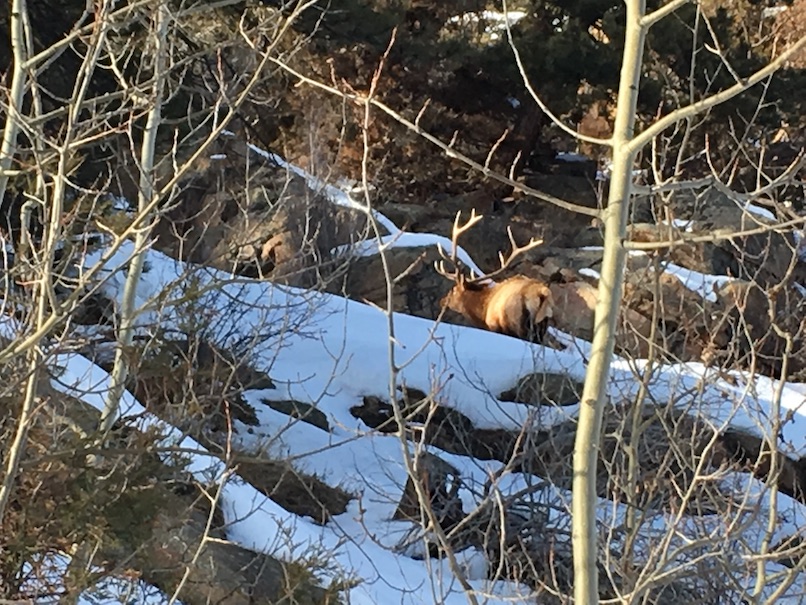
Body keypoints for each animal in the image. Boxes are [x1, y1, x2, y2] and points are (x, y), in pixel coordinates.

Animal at [436, 210, 556, 342]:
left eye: (454, 290)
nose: (442, 301)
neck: (483, 311)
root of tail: (541, 293)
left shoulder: (495, 326)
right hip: (541, 326)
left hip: (518, 324)